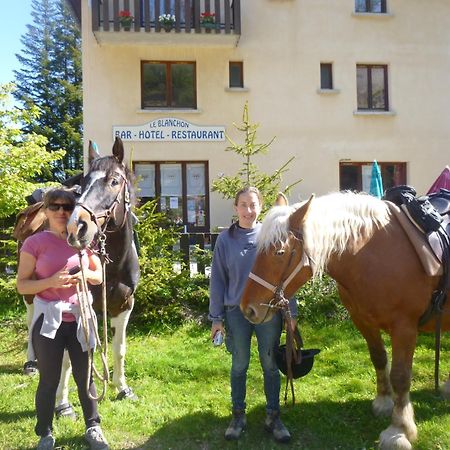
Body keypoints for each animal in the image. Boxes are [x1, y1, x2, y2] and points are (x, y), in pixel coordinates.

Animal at [241, 192, 450, 448]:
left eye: (279, 252)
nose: (247, 309)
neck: (376, 253)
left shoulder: (404, 327)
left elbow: (401, 376)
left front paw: (399, 430)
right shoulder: (363, 321)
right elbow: (379, 359)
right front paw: (384, 402)